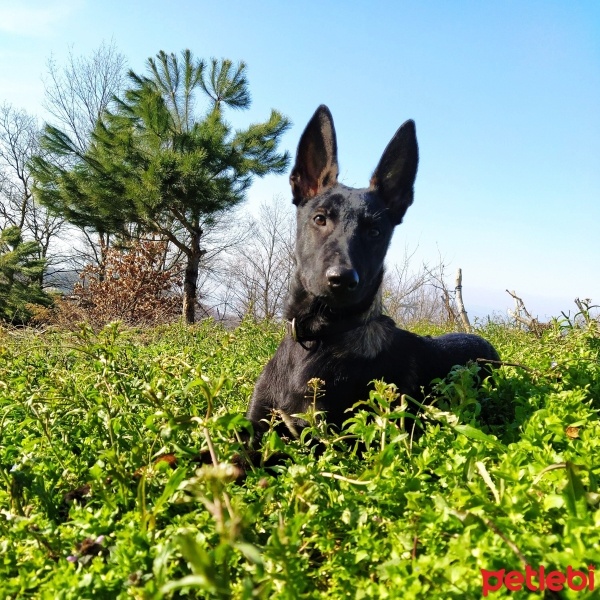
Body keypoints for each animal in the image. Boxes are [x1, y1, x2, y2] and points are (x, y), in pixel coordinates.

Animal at [246, 105, 500, 438]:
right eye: (320, 218)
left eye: (375, 232)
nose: (342, 280)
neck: (319, 337)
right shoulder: (255, 422)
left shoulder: (324, 437)